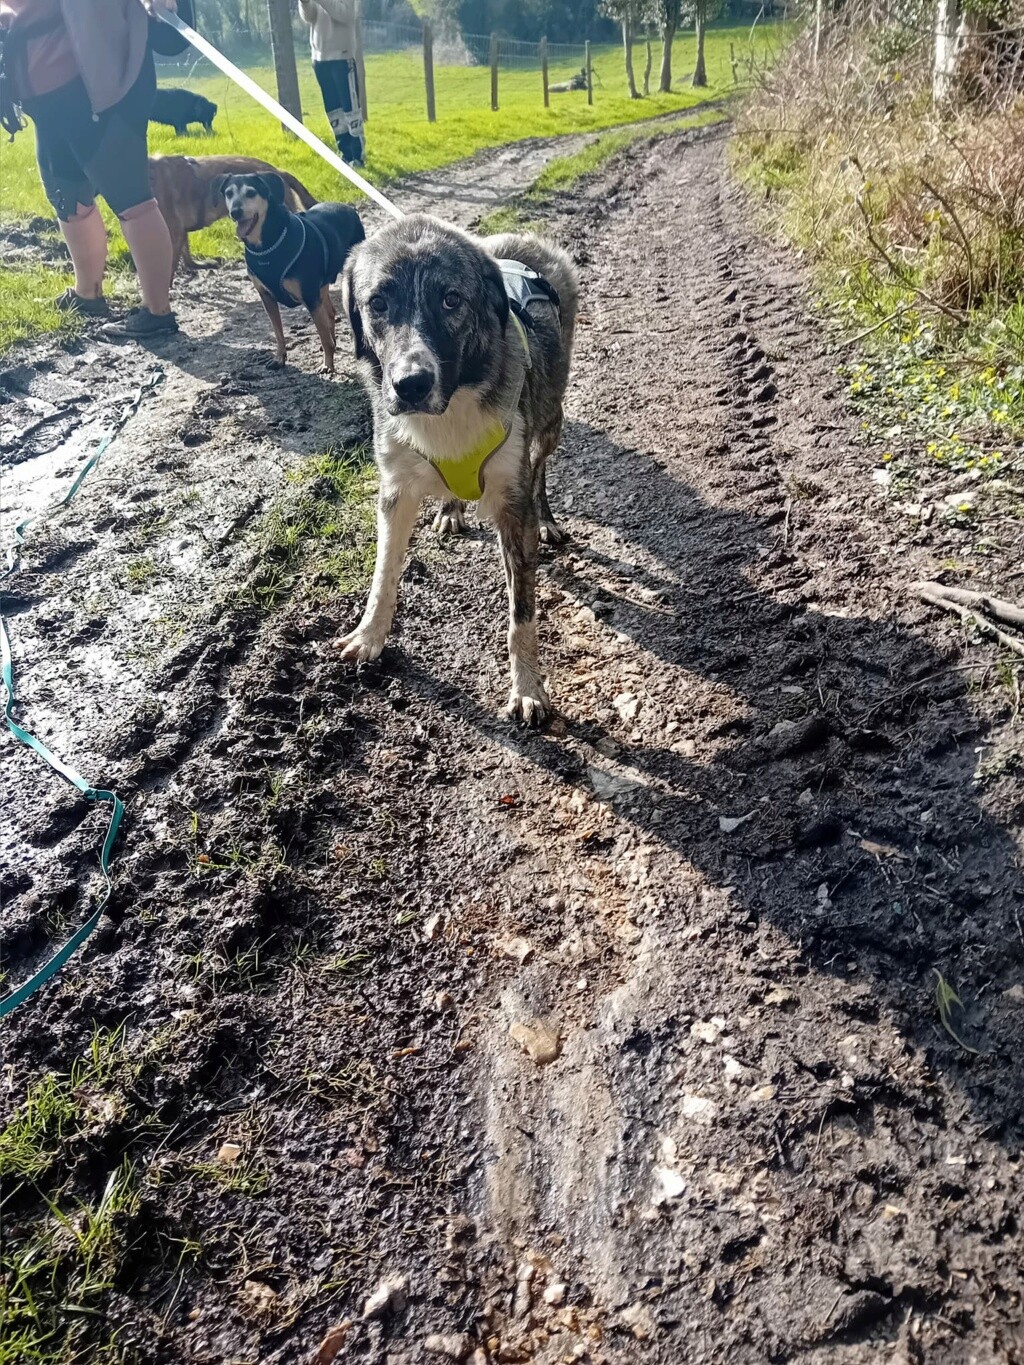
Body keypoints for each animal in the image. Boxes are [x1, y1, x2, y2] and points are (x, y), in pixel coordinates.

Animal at [219, 171, 365, 374]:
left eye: (251, 192)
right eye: (229, 193)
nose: (235, 212)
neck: (267, 244)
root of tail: (349, 209)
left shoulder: (310, 297)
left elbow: (322, 336)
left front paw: (327, 364)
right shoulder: (267, 297)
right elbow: (278, 332)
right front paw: (279, 359)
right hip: (321, 285)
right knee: (330, 312)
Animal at [337, 212, 578, 726]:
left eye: (451, 299)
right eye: (378, 303)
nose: (410, 385)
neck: (451, 401)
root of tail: (520, 243)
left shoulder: (512, 504)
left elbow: (521, 614)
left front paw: (528, 688)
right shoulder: (395, 490)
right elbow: (384, 573)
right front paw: (369, 636)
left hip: (550, 421)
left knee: (541, 469)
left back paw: (548, 520)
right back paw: (451, 506)